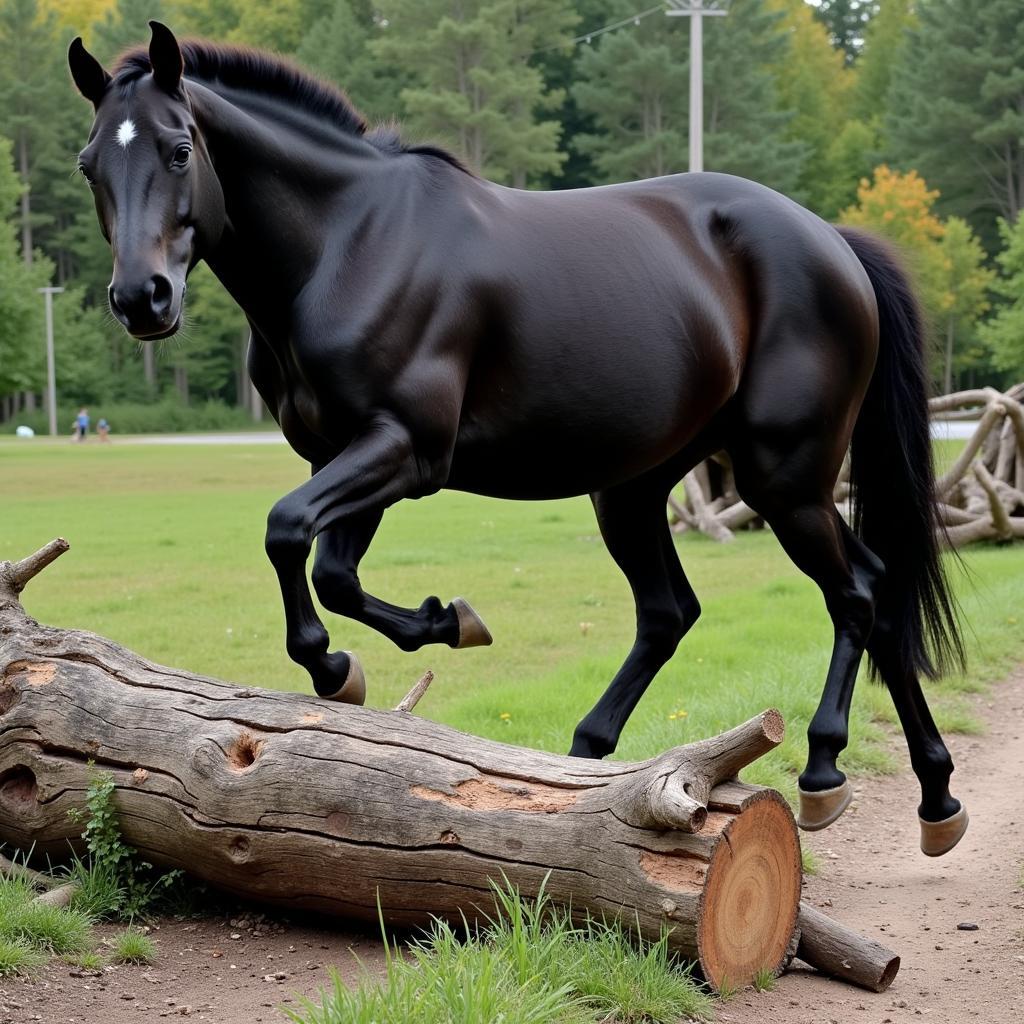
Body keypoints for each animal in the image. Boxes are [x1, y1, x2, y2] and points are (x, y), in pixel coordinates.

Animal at [70, 24, 966, 856]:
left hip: (784, 477)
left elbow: (288, 532)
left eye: (179, 149)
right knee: (683, 611)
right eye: (89, 166)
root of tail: (833, 242)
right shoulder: (348, 455)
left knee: (858, 592)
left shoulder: (404, 449)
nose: (142, 298)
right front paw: (431, 628)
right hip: (636, 486)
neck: (348, 245)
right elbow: (333, 573)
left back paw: (824, 769)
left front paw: (342, 661)